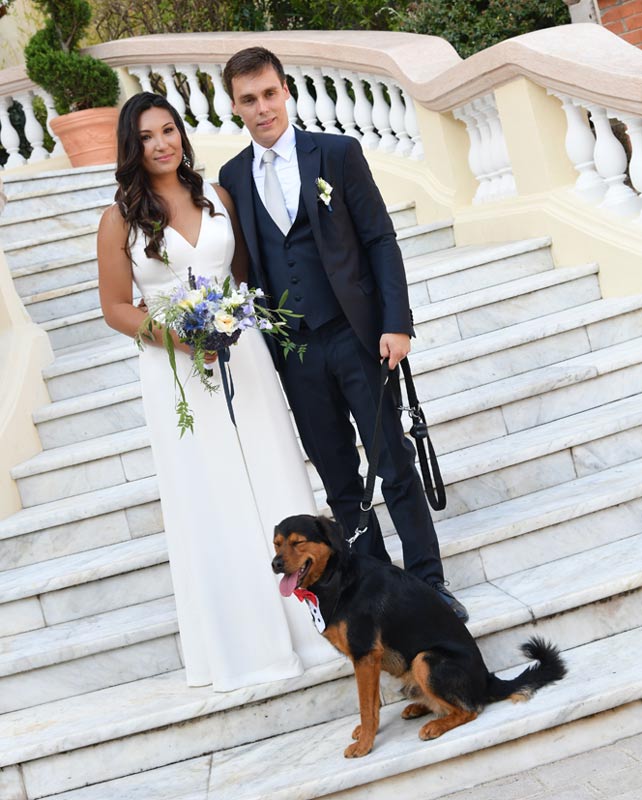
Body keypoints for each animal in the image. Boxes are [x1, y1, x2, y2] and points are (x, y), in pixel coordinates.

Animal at [270, 516, 564, 760]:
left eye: (298, 542)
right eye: (276, 545)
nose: (275, 564)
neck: (336, 576)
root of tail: (487, 680)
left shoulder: (365, 654)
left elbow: (366, 706)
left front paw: (364, 745)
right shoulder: (368, 660)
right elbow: (372, 704)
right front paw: (367, 733)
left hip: (425, 659)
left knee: (470, 708)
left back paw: (435, 725)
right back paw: (419, 707)